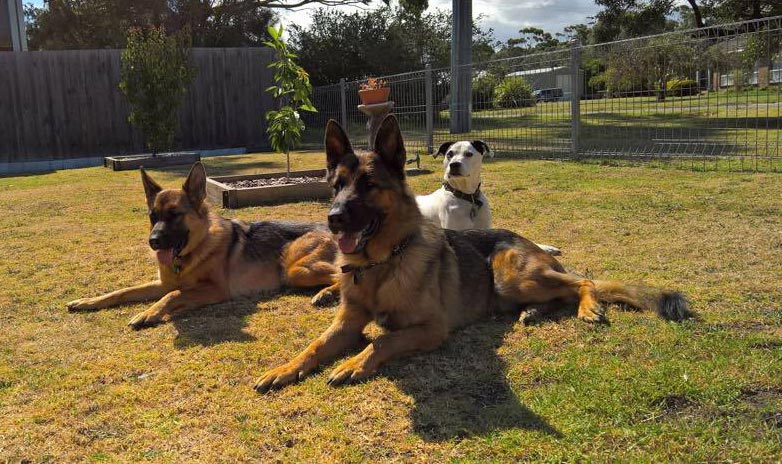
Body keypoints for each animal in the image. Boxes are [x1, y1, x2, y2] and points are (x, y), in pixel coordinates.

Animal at [65, 161, 340, 328]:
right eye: (153, 216)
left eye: (175, 215)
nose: (153, 242)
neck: (190, 255)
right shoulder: (163, 283)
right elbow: (123, 291)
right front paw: (88, 302)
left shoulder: (216, 290)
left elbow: (174, 294)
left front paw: (149, 312)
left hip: (295, 270)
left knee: (342, 276)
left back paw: (326, 293)